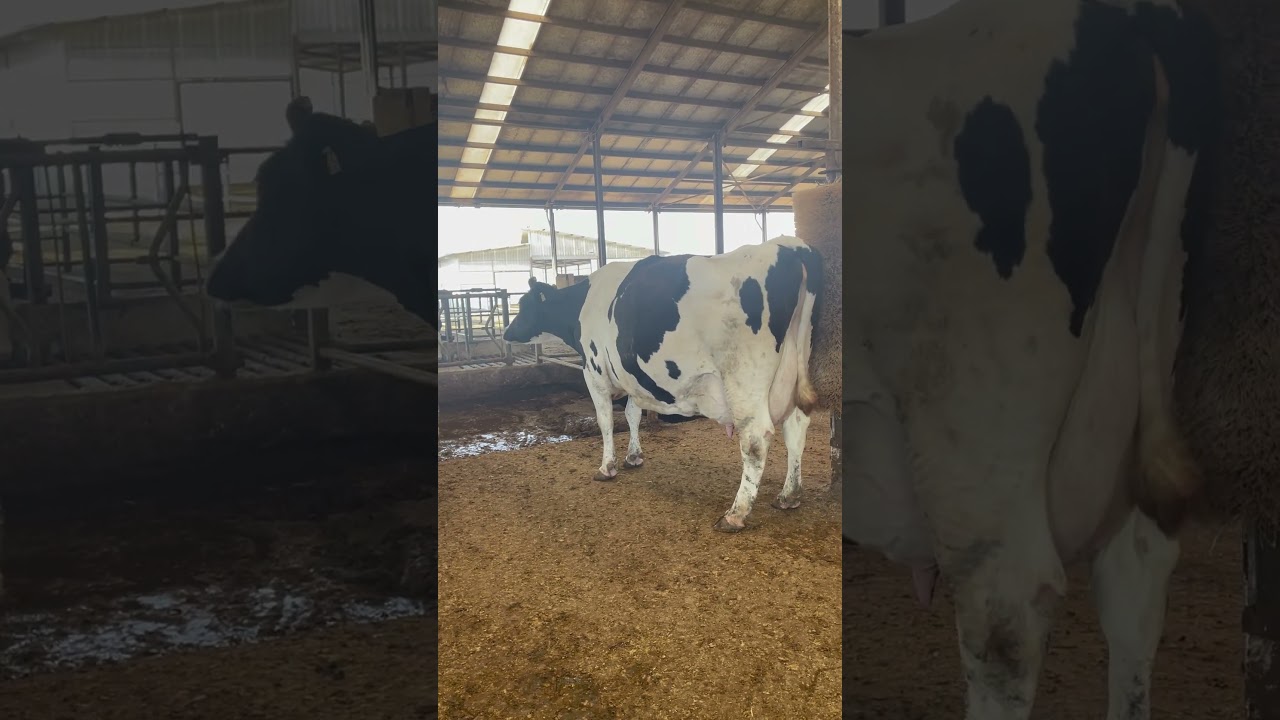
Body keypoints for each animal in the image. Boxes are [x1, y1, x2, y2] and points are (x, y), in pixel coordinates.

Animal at [502, 236, 823, 532]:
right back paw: (789, 495)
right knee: (796, 427)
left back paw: (736, 514)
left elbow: (605, 421)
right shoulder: (632, 376)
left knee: (756, 439)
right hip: (794, 367)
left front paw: (607, 467)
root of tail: (789, 245)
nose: (506, 332)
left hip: (745, 378)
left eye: (524, 305)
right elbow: (632, 413)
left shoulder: (594, 373)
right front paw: (634, 456)